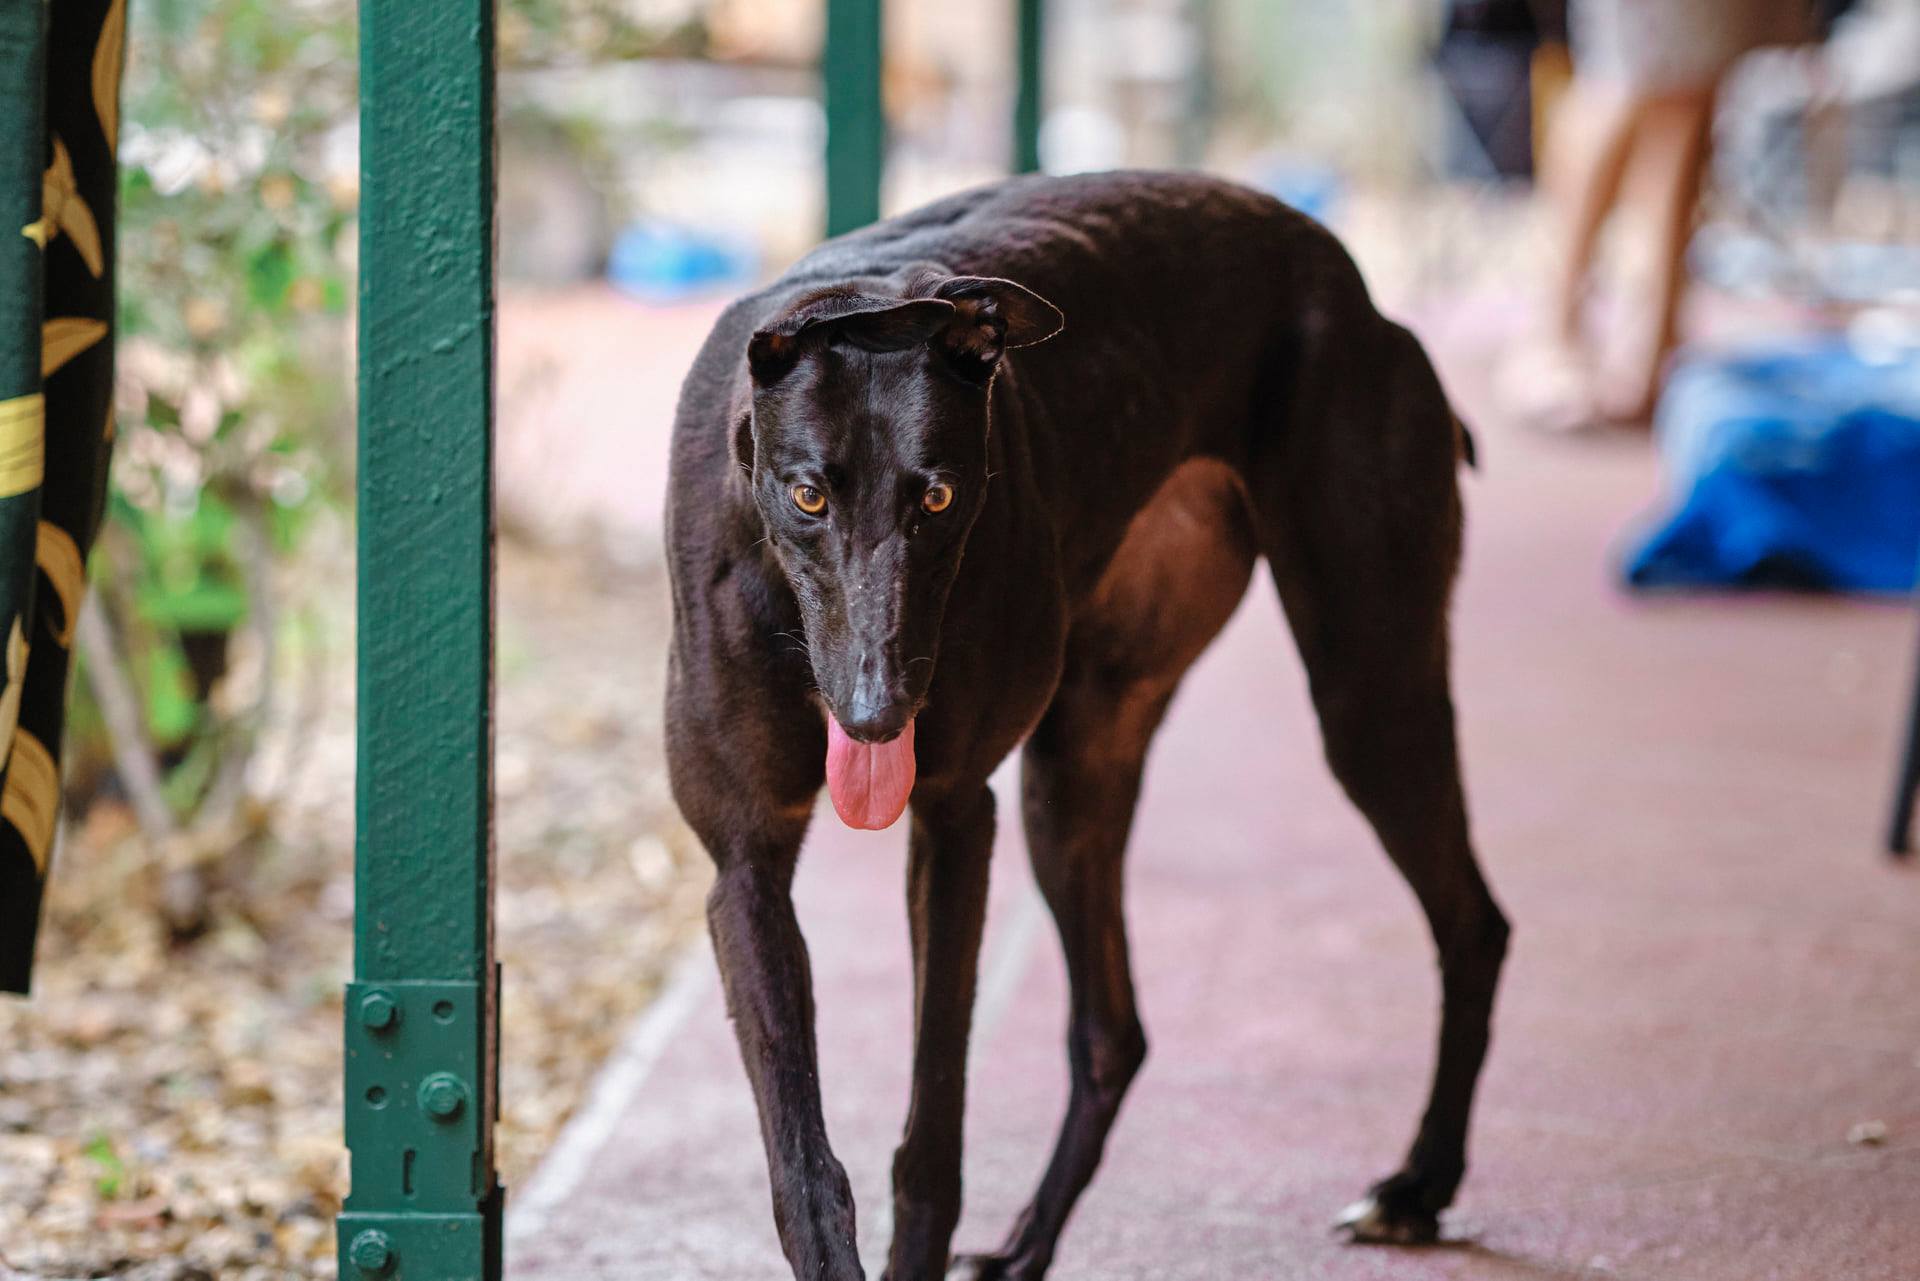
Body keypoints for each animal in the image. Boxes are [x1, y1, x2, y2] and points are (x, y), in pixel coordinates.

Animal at [664, 170, 1509, 1281]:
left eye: (939, 496)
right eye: (806, 494)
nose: (878, 717)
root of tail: (1358, 290)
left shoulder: (954, 819)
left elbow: (933, 1129)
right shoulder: (748, 863)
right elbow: (802, 1161)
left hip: (1369, 693)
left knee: (1473, 924)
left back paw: (1419, 1186)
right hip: (1074, 767)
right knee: (1113, 1031)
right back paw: (1028, 1247)